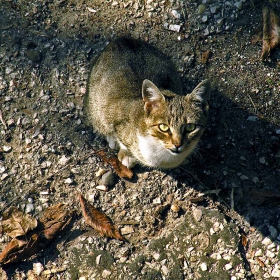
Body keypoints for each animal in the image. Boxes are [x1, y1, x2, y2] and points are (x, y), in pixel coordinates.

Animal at [85, 37, 210, 168]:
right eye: (163, 127)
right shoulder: (117, 118)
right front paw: (127, 154)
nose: (177, 144)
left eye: (190, 127)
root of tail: (121, 39)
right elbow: (122, 139)